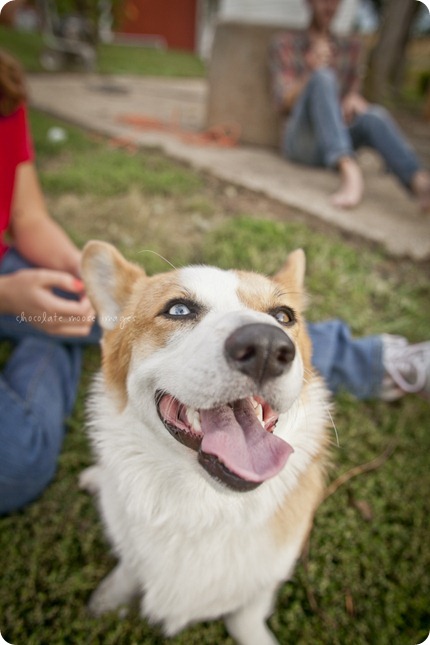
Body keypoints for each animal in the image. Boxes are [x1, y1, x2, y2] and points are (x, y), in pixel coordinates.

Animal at [80, 242, 330, 644]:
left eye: (283, 316)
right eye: (178, 309)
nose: (266, 346)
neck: (206, 505)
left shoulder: (267, 577)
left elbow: (246, 614)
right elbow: (129, 569)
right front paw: (106, 601)